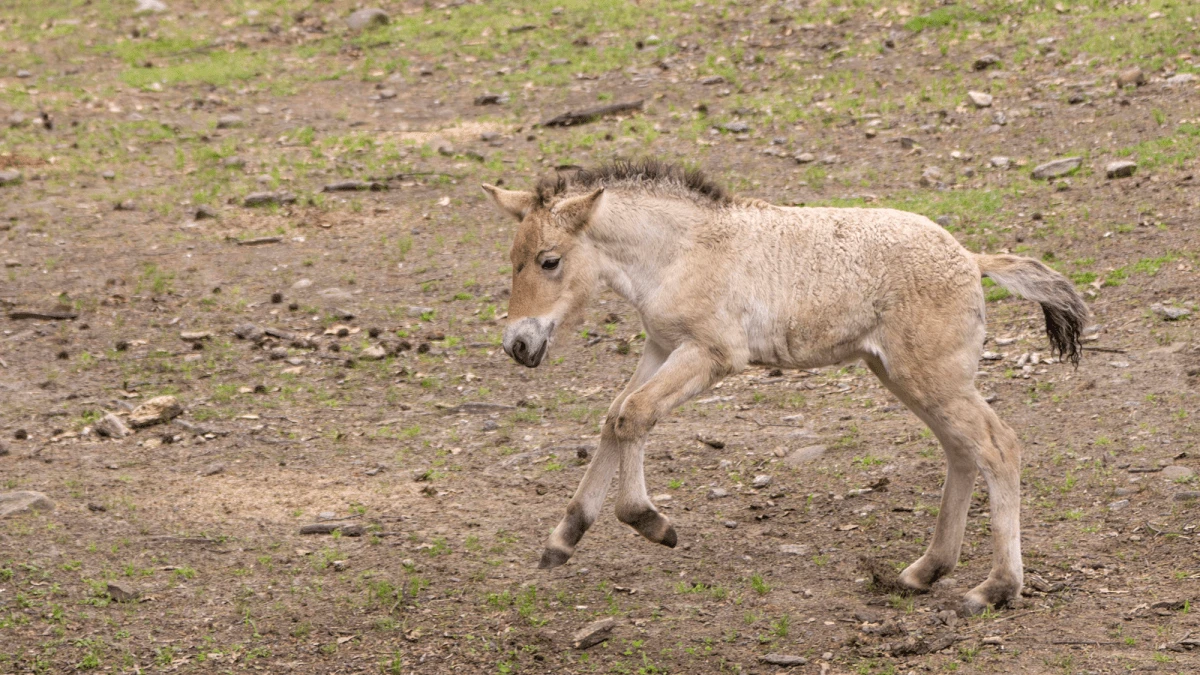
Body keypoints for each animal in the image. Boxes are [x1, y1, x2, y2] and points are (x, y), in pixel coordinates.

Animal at [482, 159, 1088, 615]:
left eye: (549, 261)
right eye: (511, 260)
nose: (518, 344)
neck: (682, 250)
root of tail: (971, 258)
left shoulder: (710, 354)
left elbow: (634, 414)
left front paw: (652, 523)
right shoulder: (660, 346)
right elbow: (616, 415)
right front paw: (562, 539)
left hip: (931, 377)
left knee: (998, 446)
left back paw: (994, 589)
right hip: (904, 375)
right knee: (962, 452)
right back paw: (923, 571)